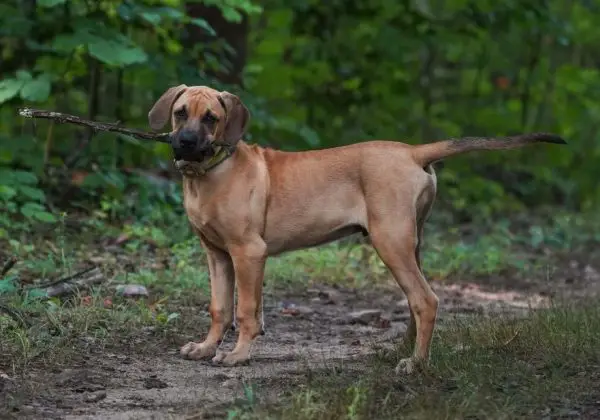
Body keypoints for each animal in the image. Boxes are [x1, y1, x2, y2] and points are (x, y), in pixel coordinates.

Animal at [148, 84, 564, 374]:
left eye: (211, 118)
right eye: (180, 113)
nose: (185, 143)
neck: (211, 173)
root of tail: (413, 151)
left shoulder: (248, 252)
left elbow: (247, 310)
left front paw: (237, 355)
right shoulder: (217, 255)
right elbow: (220, 307)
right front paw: (206, 348)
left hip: (390, 241)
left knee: (426, 300)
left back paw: (416, 364)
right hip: (411, 243)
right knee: (417, 301)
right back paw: (408, 351)